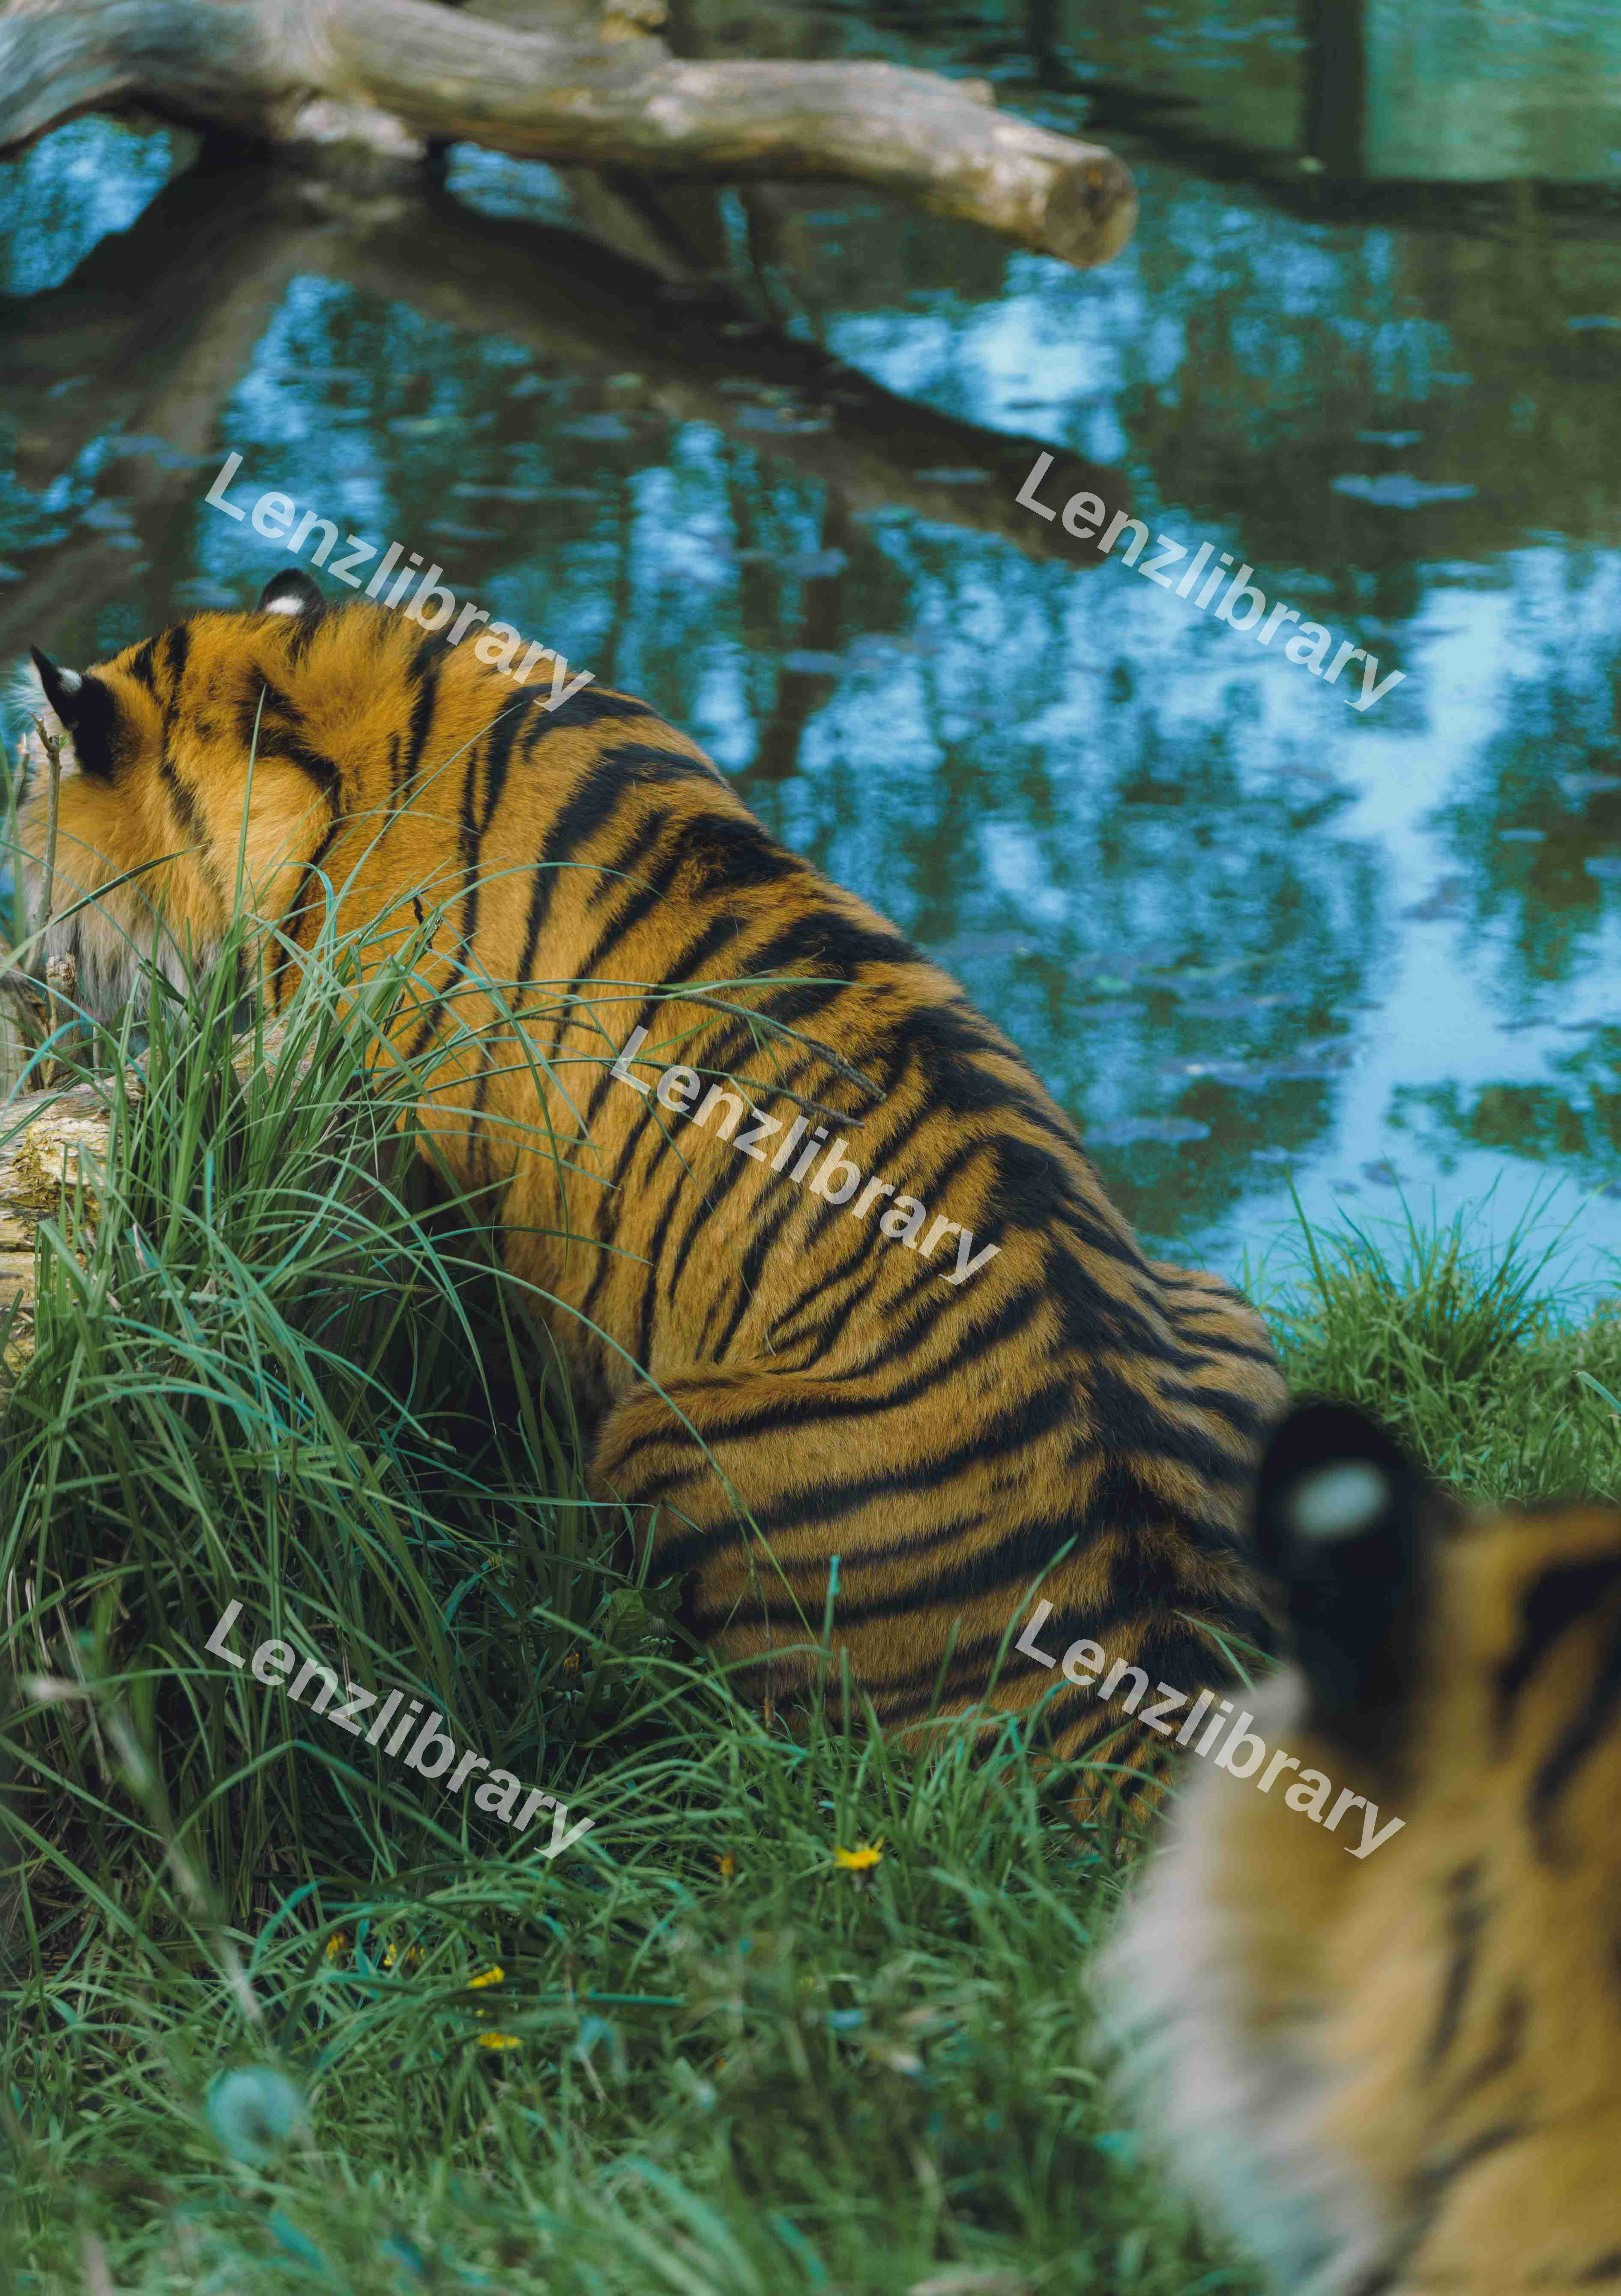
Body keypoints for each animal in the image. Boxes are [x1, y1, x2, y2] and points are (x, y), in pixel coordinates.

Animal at [12, 567, 1286, 1824]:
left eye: (22, 817)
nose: (21, 970)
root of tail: (1149, 1628)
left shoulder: (431, 1202)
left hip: (664, 1439)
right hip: (1220, 1300)